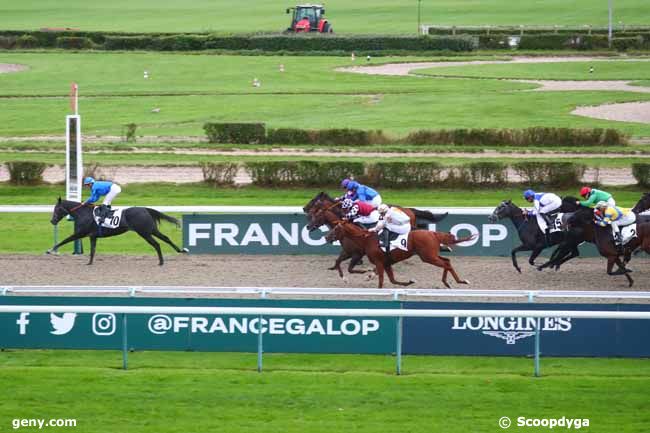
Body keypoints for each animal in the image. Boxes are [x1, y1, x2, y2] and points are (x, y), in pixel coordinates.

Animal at [49, 198, 186, 264]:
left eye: (57, 208)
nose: (52, 221)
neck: (83, 213)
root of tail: (145, 209)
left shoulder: (80, 233)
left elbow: (65, 240)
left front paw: (50, 250)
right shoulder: (92, 236)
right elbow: (93, 250)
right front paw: (89, 263)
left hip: (144, 232)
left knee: (156, 244)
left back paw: (161, 262)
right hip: (151, 230)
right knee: (166, 238)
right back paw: (180, 250)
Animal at [324, 221, 470, 288]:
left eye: (336, 229)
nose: (326, 237)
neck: (367, 239)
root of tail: (433, 233)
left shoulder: (378, 262)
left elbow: (381, 281)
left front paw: (369, 275)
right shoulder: (386, 263)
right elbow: (393, 280)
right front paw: (410, 281)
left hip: (428, 257)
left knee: (446, 263)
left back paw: (456, 281)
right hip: (431, 255)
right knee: (447, 261)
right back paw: (452, 282)